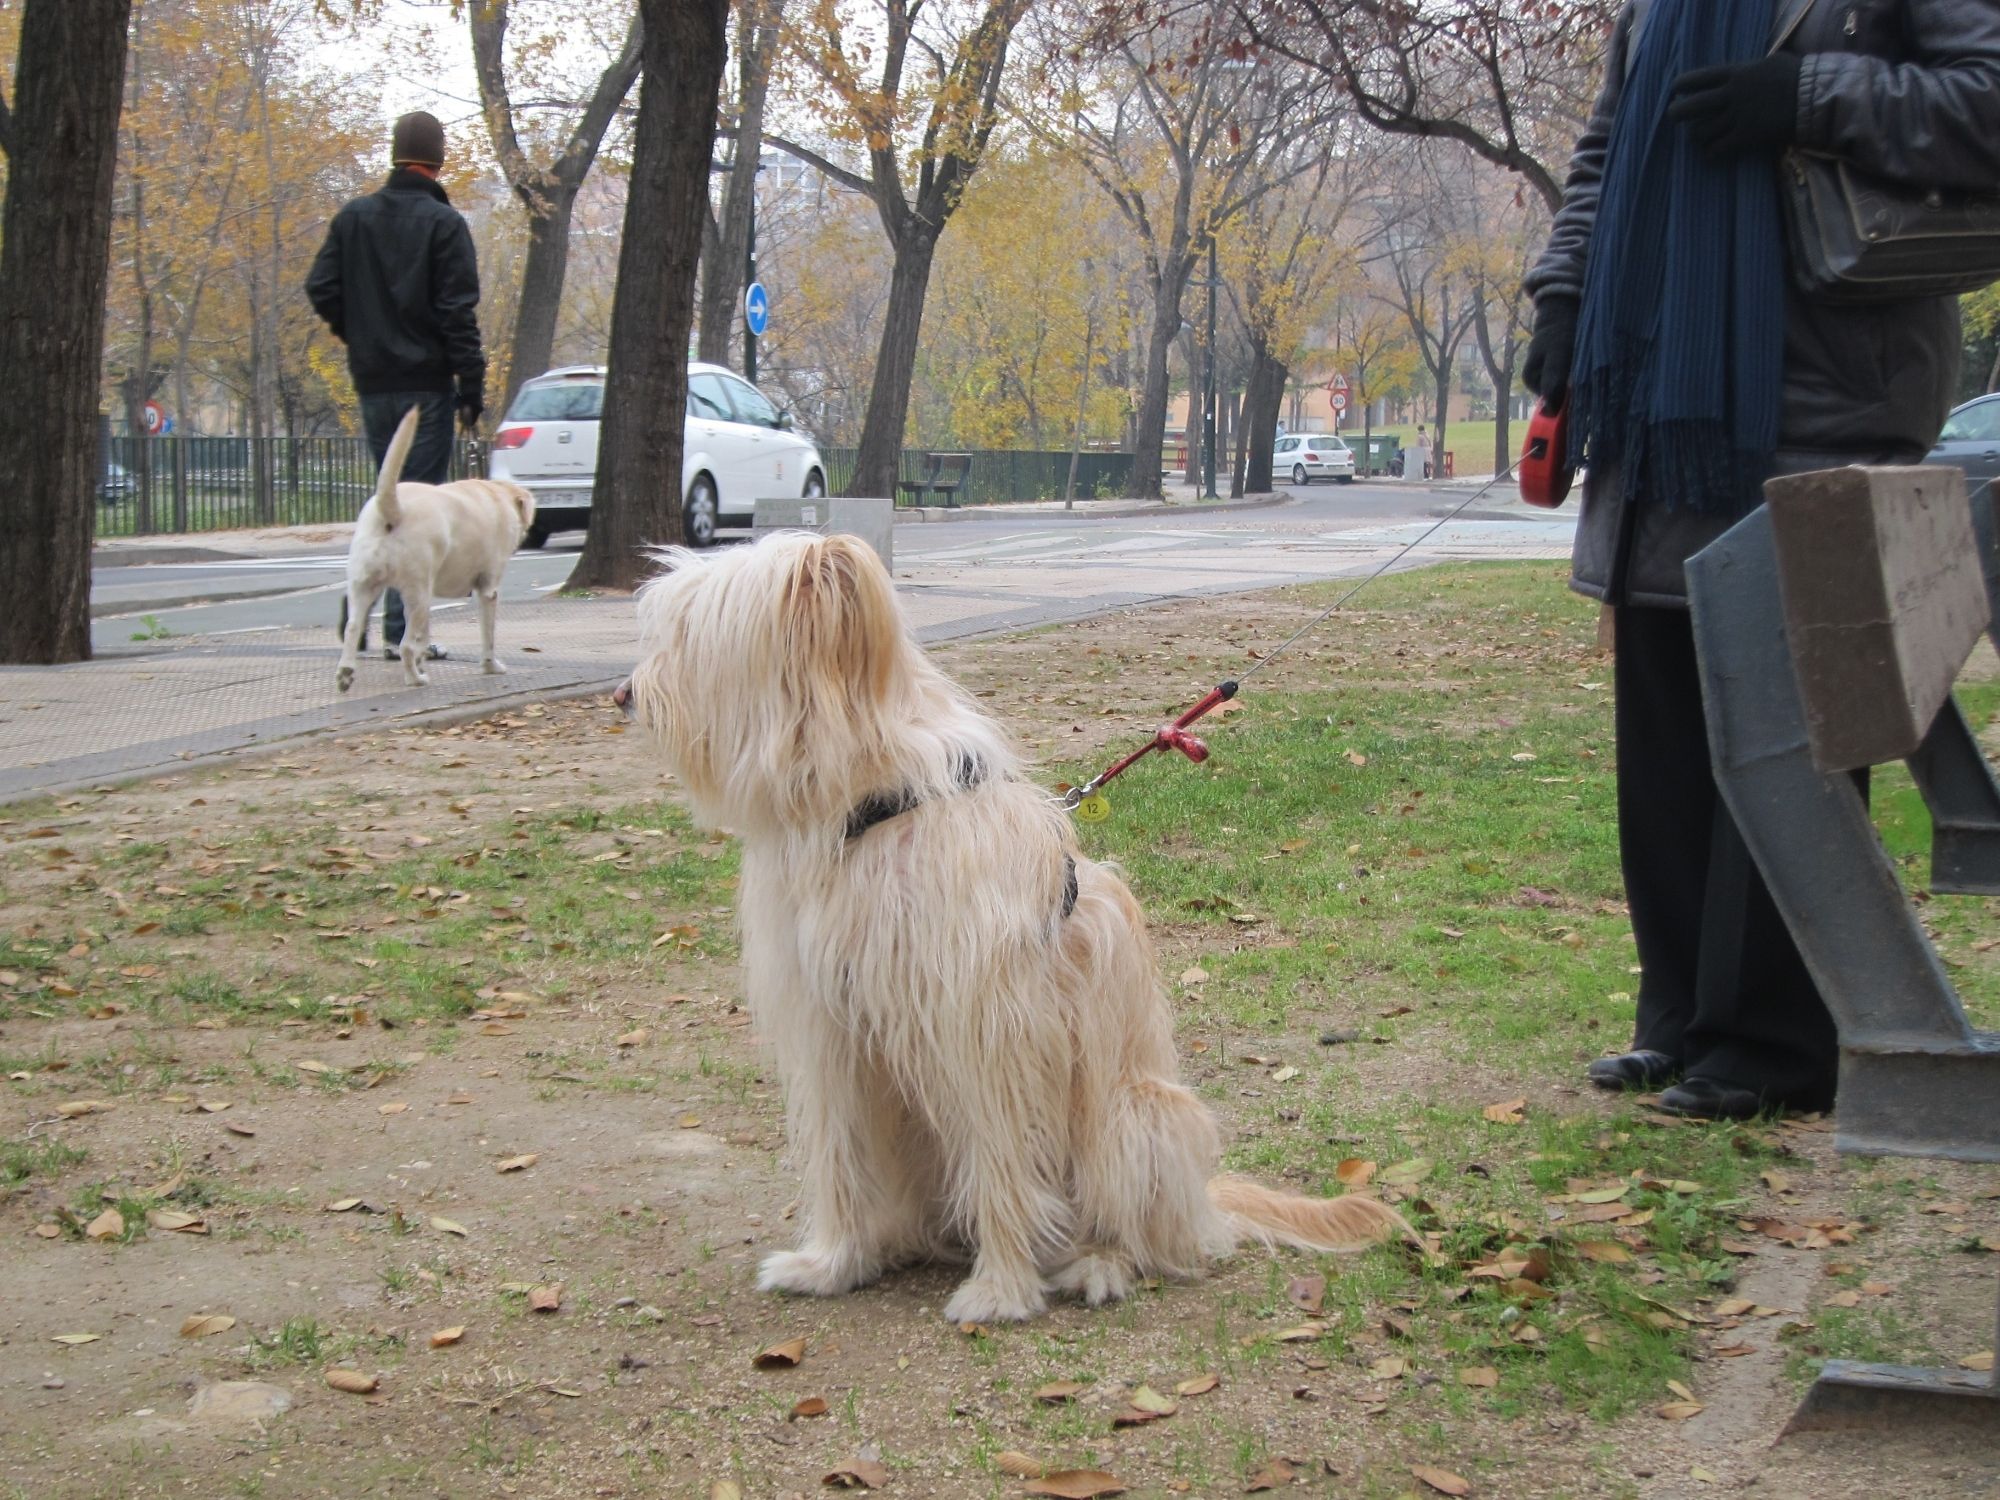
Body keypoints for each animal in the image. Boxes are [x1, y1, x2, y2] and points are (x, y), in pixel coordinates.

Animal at [338, 408, 540, 696]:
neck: (495, 495)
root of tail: (392, 510)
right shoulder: (488, 590)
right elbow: (488, 635)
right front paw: (491, 666)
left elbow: (424, 639)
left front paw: (425, 657)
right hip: (419, 595)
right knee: (405, 645)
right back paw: (415, 679)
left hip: (365, 586)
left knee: (352, 627)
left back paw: (346, 674)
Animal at [616, 532, 1416, 1328]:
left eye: (687, 632)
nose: (623, 695)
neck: (876, 810)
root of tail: (1203, 1205)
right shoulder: (830, 1032)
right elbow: (838, 1155)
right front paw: (832, 1263)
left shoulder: (988, 1030)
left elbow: (1001, 1164)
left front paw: (1001, 1289)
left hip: (1133, 1121)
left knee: (1140, 1236)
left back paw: (1096, 1264)